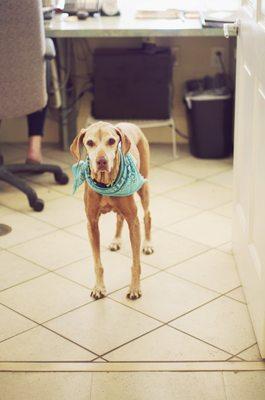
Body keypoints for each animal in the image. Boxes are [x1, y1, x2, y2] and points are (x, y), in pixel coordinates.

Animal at [70, 122, 153, 300]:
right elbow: (97, 263)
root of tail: (130, 124)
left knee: (147, 216)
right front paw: (99, 287)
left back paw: (148, 243)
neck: (106, 183)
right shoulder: (92, 223)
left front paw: (134, 288)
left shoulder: (133, 222)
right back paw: (116, 240)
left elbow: (135, 263)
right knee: (119, 218)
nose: (101, 161)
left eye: (111, 141)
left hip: (143, 186)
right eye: (90, 143)